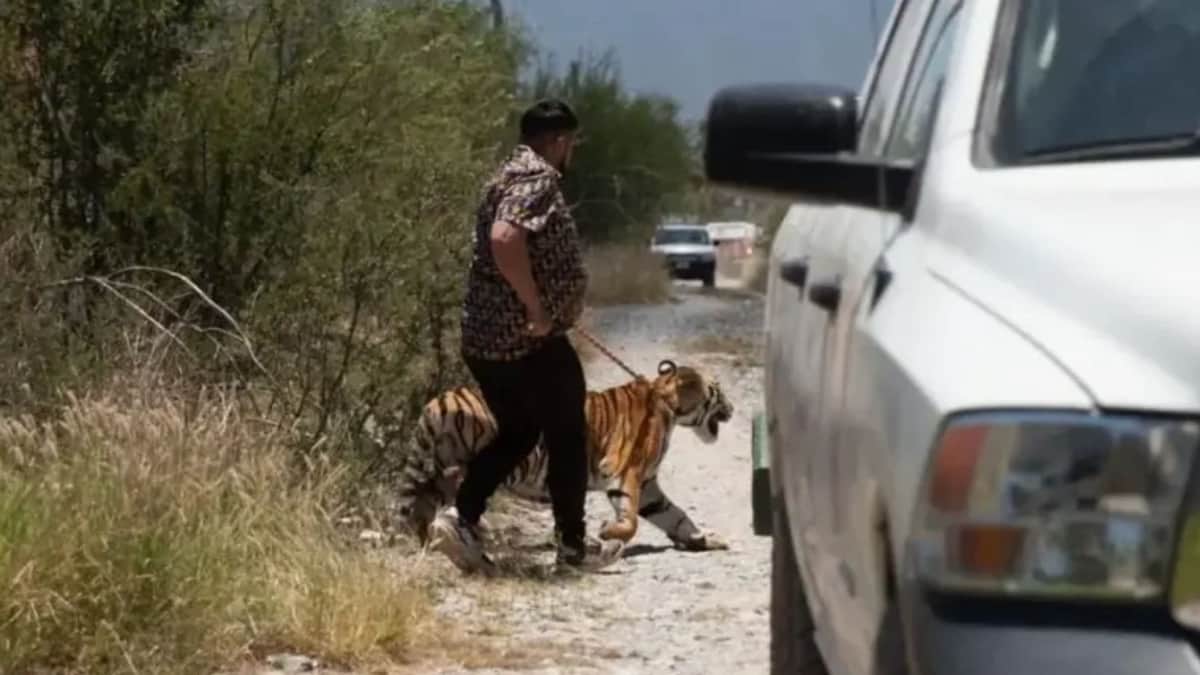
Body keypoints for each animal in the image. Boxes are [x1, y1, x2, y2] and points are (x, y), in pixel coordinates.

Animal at [384, 359, 734, 552]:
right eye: (719, 392)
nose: (733, 409)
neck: (670, 407)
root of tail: (439, 401)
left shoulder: (648, 484)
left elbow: (675, 514)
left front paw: (704, 539)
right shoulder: (627, 473)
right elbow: (632, 519)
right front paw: (606, 532)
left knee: (423, 504)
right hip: (504, 460)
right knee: (456, 490)